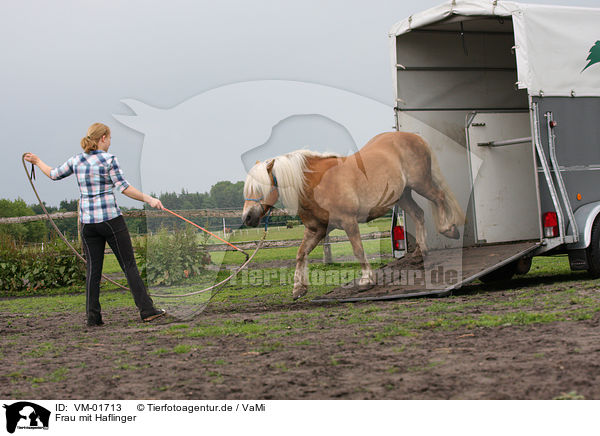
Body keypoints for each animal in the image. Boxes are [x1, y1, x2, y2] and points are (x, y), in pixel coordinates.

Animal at [240, 130, 464, 300]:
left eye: (260, 187)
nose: (247, 218)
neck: (316, 184)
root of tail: (413, 136)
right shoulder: (316, 229)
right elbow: (300, 254)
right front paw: (298, 288)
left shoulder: (349, 223)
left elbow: (358, 250)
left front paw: (367, 280)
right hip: (403, 195)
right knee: (419, 214)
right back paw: (421, 251)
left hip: (421, 183)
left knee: (439, 197)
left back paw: (449, 229)